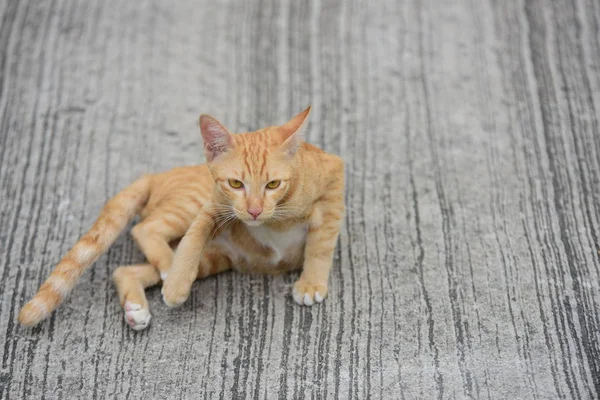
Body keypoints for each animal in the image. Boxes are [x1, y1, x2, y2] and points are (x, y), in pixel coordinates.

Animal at [18, 108, 344, 330]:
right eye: (235, 184)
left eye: (273, 184)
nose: (253, 211)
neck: (274, 219)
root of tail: (156, 175)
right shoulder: (213, 204)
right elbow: (193, 238)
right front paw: (176, 284)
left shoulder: (334, 177)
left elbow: (321, 244)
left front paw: (311, 283)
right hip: (190, 207)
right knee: (146, 229)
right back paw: (168, 270)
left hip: (214, 259)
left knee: (124, 269)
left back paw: (136, 307)